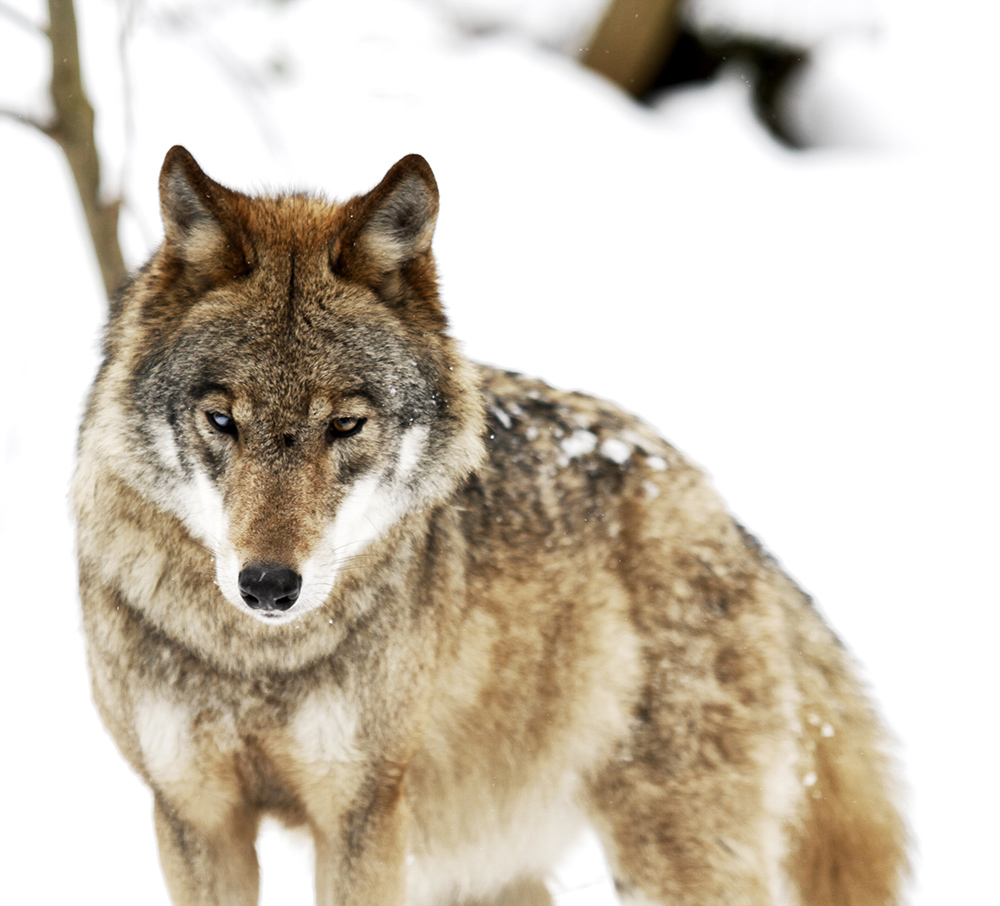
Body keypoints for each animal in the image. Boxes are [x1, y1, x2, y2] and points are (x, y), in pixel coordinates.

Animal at [72, 145, 908, 900]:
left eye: (346, 425)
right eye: (222, 420)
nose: (270, 585)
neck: (254, 660)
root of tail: (725, 515)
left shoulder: (364, 815)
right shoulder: (195, 817)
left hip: (664, 853)